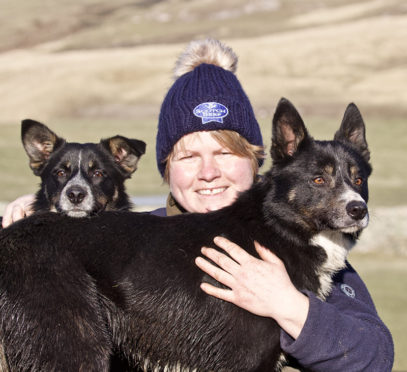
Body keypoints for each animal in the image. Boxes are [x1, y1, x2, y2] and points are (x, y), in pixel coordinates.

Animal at [0, 99, 372, 372]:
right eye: (319, 179)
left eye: (358, 178)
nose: (358, 209)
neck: (278, 226)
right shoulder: (243, 357)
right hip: (70, 347)